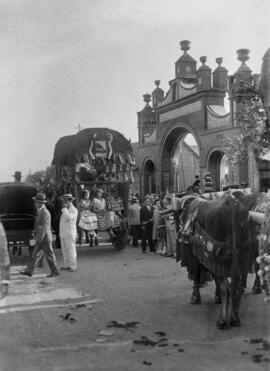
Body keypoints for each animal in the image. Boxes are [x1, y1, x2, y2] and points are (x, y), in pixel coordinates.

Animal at [178, 193, 250, 330]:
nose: (181, 233)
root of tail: (232, 203)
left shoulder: (197, 254)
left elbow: (196, 275)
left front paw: (195, 297)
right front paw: (217, 298)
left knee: (226, 287)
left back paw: (222, 320)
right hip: (239, 255)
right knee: (237, 284)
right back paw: (235, 317)